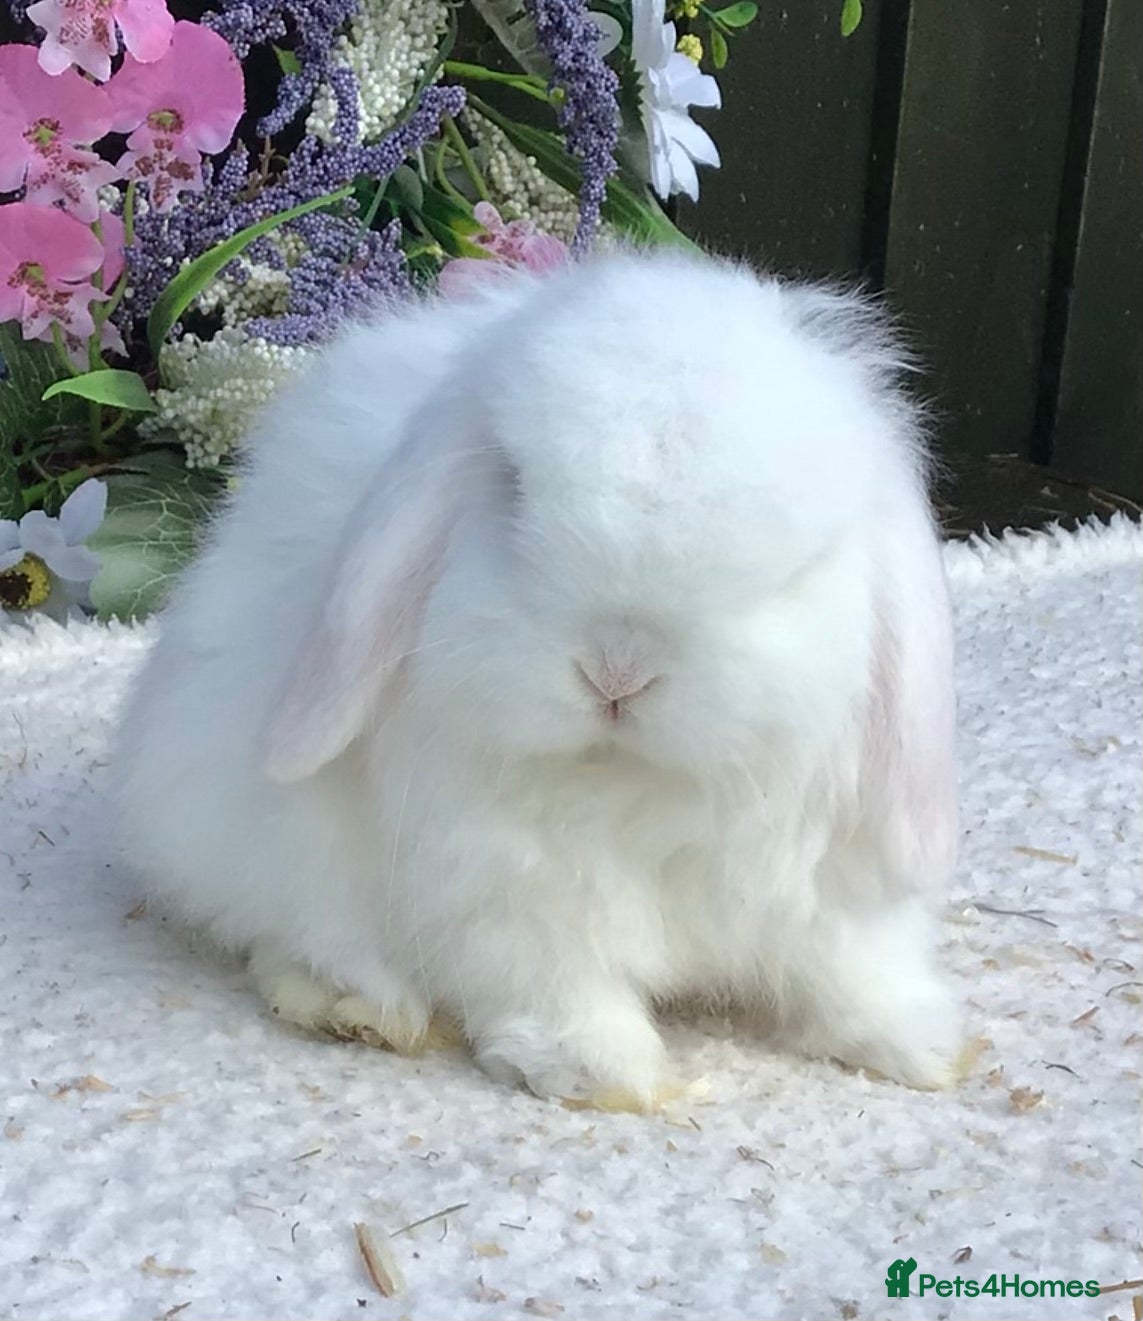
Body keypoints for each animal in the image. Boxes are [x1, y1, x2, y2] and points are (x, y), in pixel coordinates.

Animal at [113, 248, 961, 1109]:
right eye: (513, 488)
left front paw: (924, 1044)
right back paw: (360, 1007)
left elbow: (852, 966)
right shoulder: (508, 888)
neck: (629, 784)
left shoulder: (833, 880)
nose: (618, 668)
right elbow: (554, 977)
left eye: (802, 564)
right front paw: (600, 1073)